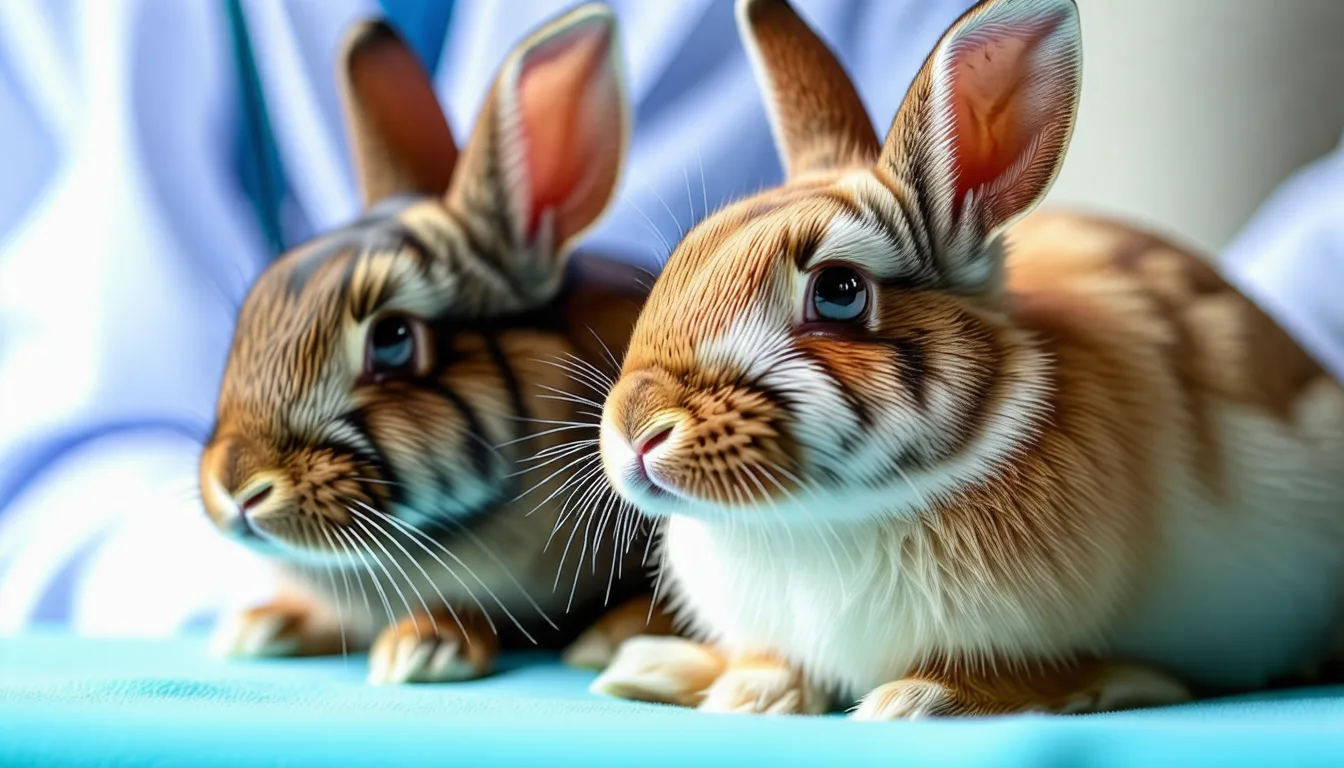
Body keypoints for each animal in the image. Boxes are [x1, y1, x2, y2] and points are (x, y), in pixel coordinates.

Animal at [589, 0, 1344, 718]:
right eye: (685, 257)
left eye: (838, 292)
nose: (636, 431)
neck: (817, 520)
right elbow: (774, 661)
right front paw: (722, 683)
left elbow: (1055, 674)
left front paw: (916, 699)